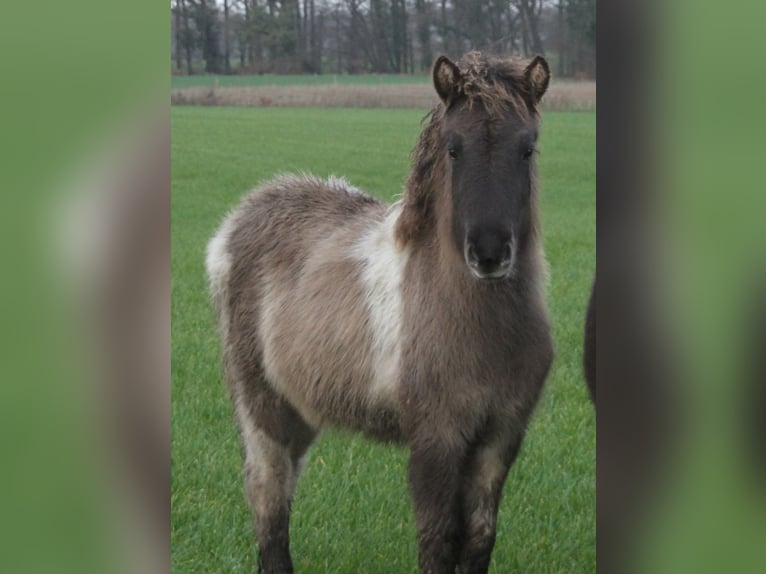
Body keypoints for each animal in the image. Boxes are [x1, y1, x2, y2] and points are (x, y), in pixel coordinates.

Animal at [206, 51, 554, 574]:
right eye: (454, 149)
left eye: (527, 148)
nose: (490, 253)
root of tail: (238, 218)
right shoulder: (435, 439)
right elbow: (437, 541)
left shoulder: (501, 437)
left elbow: (478, 539)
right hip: (261, 406)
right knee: (267, 499)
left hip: (301, 411)